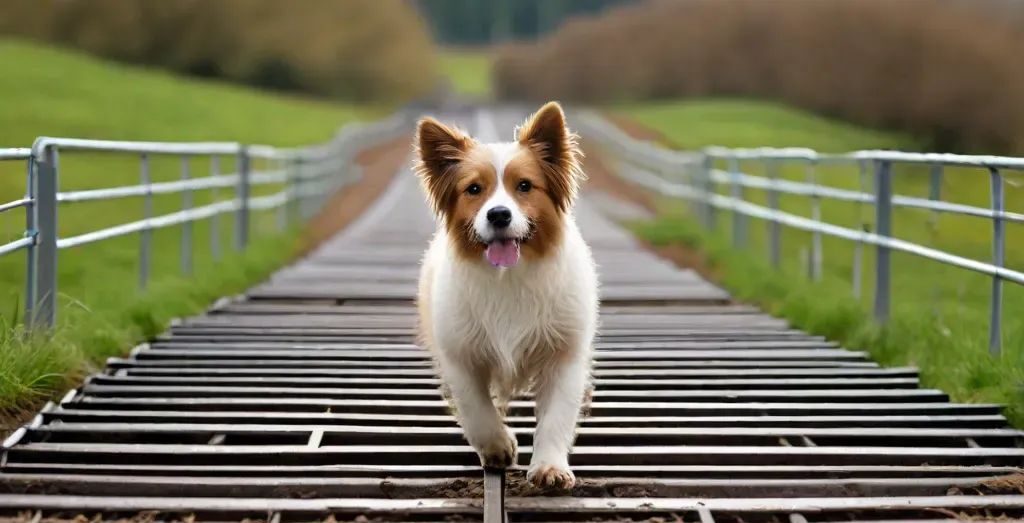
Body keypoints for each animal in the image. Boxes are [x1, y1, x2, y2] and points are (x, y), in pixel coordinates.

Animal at [411, 102, 598, 491]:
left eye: (525, 186)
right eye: (474, 189)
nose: (499, 214)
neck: (508, 276)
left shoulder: (564, 355)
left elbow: (556, 417)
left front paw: (549, 467)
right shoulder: (461, 355)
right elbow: (477, 410)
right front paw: (498, 446)